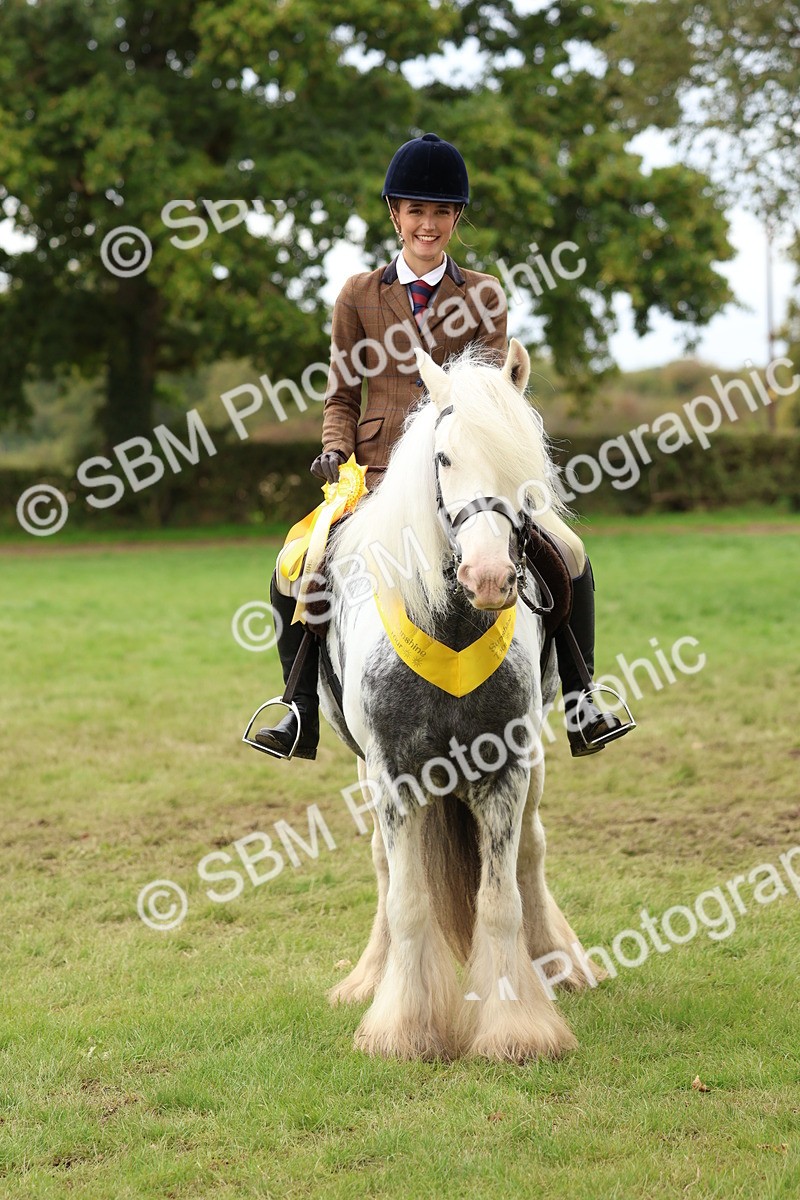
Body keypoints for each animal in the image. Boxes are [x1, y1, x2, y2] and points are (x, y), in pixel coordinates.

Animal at [319, 338, 601, 1062]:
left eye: (524, 461)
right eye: (444, 458)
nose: (491, 577)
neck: (450, 624)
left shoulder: (505, 767)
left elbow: (499, 900)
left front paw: (516, 1028)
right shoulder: (393, 774)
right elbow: (408, 899)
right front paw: (402, 1029)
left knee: (530, 854)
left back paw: (557, 965)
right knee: (387, 871)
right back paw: (369, 978)